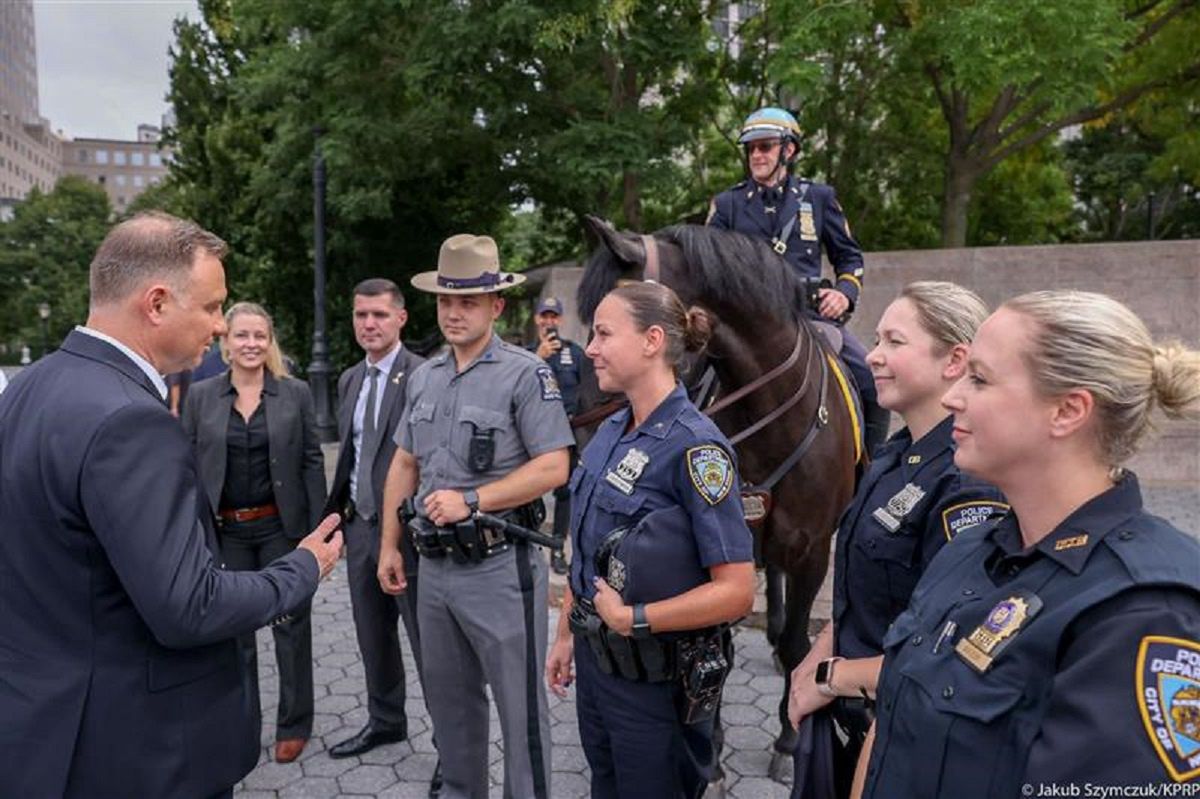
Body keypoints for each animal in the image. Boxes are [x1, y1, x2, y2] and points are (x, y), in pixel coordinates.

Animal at [573, 214, 864, 782]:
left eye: (603, 326)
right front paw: (710, 750)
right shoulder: (724, 536)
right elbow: (712, 633)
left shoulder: (814, 548)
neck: (771, 416)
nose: (581, 427)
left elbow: (797, 644)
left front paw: (789, 741)